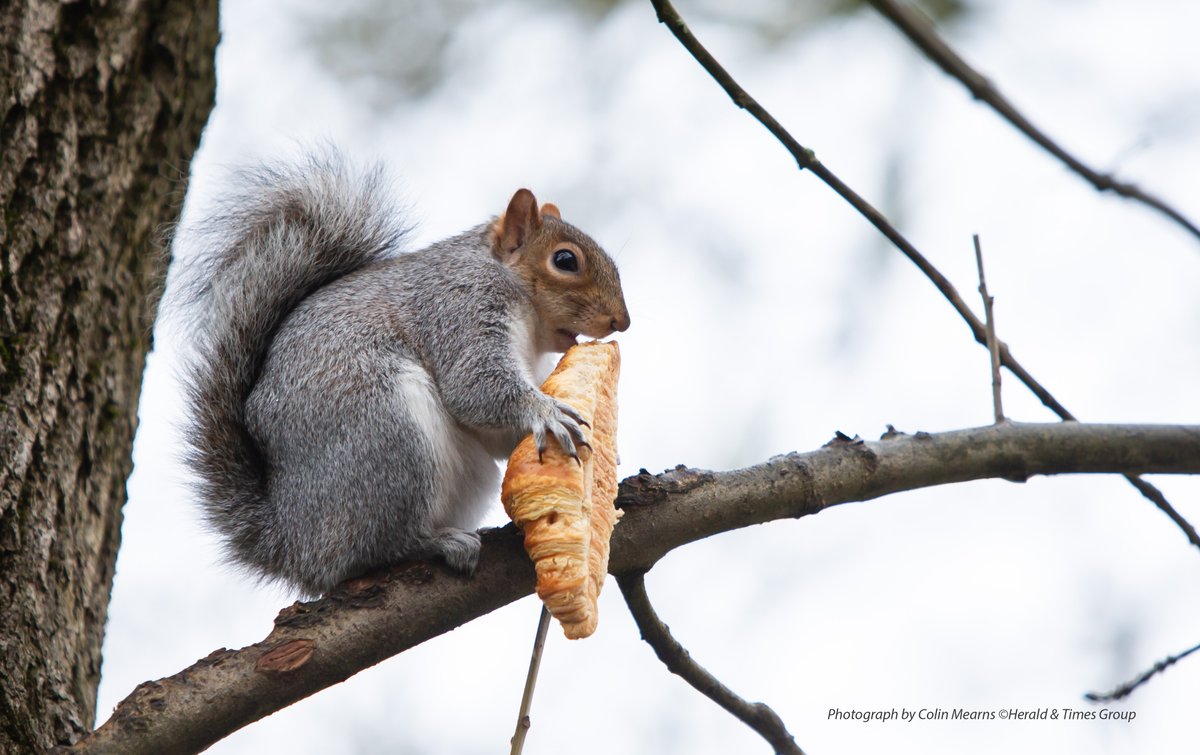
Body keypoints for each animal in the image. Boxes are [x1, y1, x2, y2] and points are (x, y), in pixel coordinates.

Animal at [174, 152, 630, 597]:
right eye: (565, 260)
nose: (622, 321)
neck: (530, 324)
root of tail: (295, 544)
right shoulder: (460, 308)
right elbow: (474, 388)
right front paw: (546, 411)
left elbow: (497, 434)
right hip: (385, 435)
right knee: (375, 549)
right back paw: (437, 543)